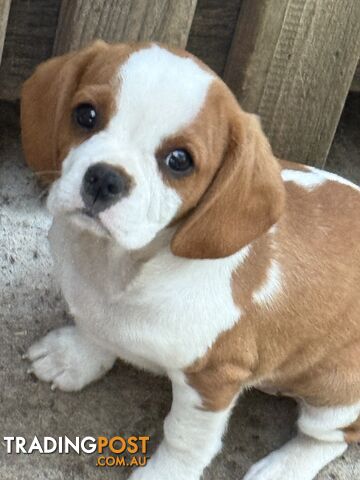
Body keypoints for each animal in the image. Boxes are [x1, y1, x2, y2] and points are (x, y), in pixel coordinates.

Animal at [21, 39, 360, 478]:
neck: (119, 266)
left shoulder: (211, 381)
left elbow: (184, 440)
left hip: (337, 397)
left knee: (332, 437)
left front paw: (163, 473)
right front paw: (75, 357)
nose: (105, 179)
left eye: (179, 160)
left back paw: (284, 467)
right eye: (86, 114)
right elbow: (96, 331)